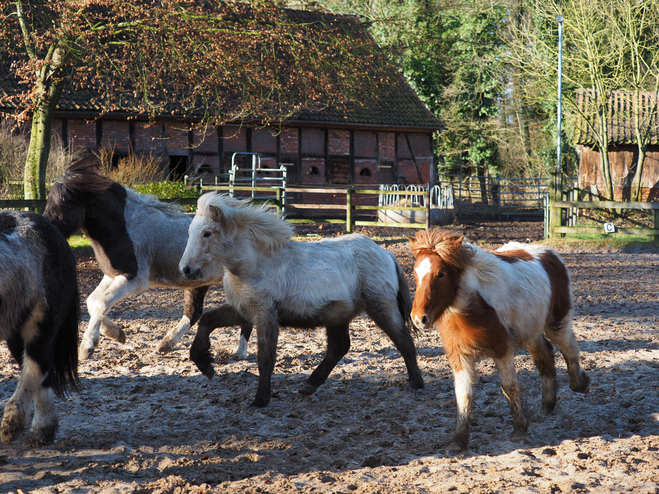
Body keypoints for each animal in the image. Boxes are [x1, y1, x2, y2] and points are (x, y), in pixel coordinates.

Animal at [0, 210, 79, 446]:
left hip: (40, 323)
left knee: (37, 365)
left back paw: (16, 424)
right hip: (15, 331)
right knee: (41, 374)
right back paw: (43, 431)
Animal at [43, 160, 254, 360]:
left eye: (65, 201)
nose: (45, 229)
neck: (124, 227)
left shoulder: (134, 279)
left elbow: (101, 302)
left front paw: (87, 347)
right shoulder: (112, 275)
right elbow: (92, 301)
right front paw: (116, 334)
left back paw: (240, 352)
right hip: (198, 284)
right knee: (193, 312)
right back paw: (167, 344)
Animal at [178, 191, 422, 408]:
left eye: (207, 233)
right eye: (190, 232)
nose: (186, 269)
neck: (254, 264)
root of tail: (386, 254)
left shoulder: (265, 315)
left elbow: (265, 358)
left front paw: (260, 400)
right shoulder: (243, 311)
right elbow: (207, 320)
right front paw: (205, 364)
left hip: (381, 307)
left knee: (403, 341)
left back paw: (417, 383)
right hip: (339, 315)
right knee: (339, 347)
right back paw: (309, 385)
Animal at [410, 231, 592, 456]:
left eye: (441, 274)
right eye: (415, 273)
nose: (419, 318)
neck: (474, 306)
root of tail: (550, 253)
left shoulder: (502, 350)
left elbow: (509, 387)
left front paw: (520, 431)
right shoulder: (460, 356)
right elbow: (463, 394)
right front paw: (458, 442)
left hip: (557, 323)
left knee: (570, 349)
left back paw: (580, 384)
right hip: (530, 333)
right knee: (545, 358)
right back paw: (546, 407)